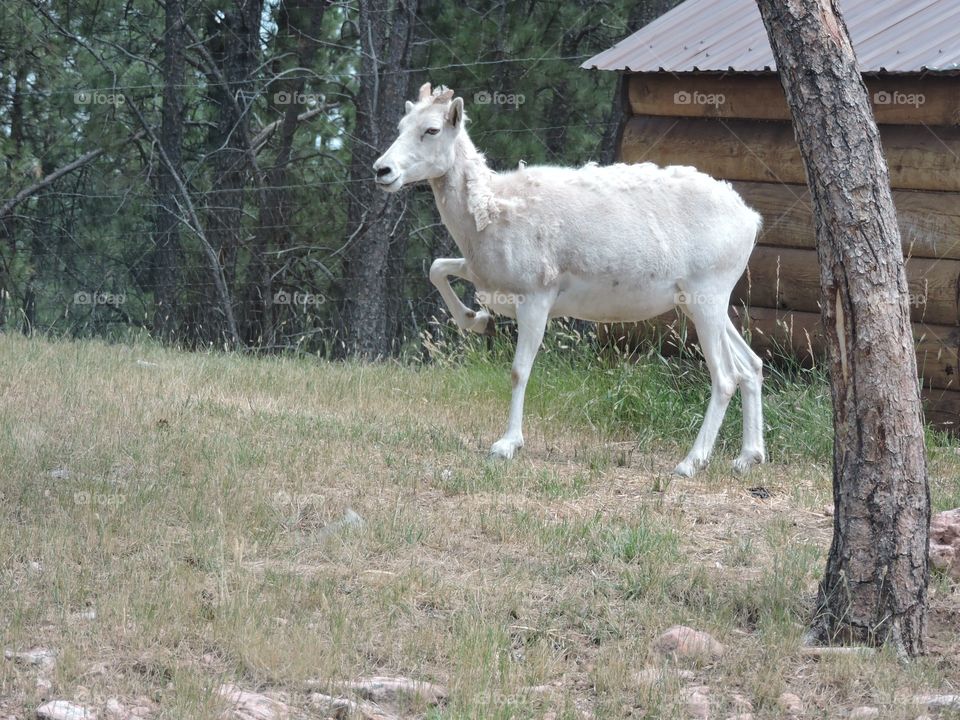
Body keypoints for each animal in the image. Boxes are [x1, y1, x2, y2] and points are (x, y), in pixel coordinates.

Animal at [374, 84, 764, 478]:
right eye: (401, 125)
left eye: (432, 129)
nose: (382, 170)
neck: (490, 214)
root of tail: (752, 219)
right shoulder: (484, 276)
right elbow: (436, 267)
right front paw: (478, 320)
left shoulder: (536, 295)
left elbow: (519, 371)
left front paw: (506, 445)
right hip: (698, 303)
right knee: (751, 365)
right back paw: (747, 457)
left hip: (707, 295)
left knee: (725, 376)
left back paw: (690, 463)